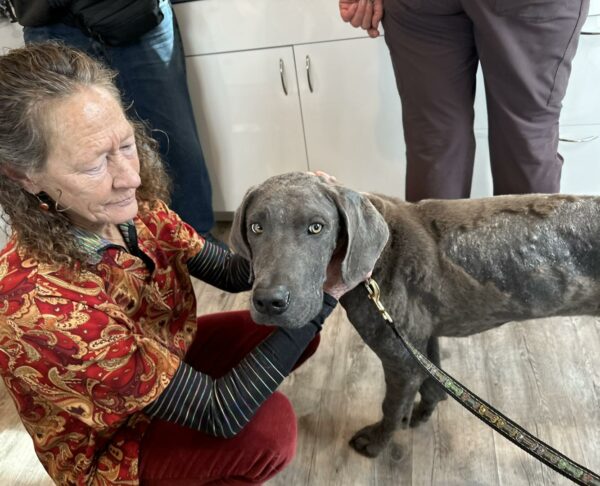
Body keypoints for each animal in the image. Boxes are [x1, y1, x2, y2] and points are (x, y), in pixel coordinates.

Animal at [231, 172, 600, 460]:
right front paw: (422, 412)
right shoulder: (420, 339)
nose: (269, 302)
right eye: (256, 226)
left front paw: (377, 441)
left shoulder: (399, 358)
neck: (374, 265)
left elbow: (391, 405)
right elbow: (432, 381)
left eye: (316, 227)